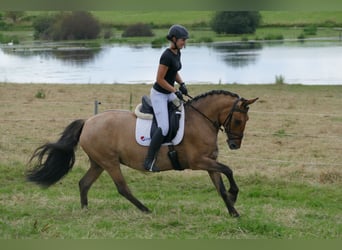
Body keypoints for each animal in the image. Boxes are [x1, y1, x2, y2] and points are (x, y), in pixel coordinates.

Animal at [26, 90, 256, 217]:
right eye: (238, 120)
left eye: (246, 120)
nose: (234, 145)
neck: (200, 120)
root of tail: (88, 121)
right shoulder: (198, 161)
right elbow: (228, 170)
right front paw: (235, 196)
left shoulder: (209, 162)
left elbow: (221, 186)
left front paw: (233, 211)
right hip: (110, 163)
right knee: (122, 188)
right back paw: (145, 210)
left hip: (98, 163)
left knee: (84, 183)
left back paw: (85, 211)